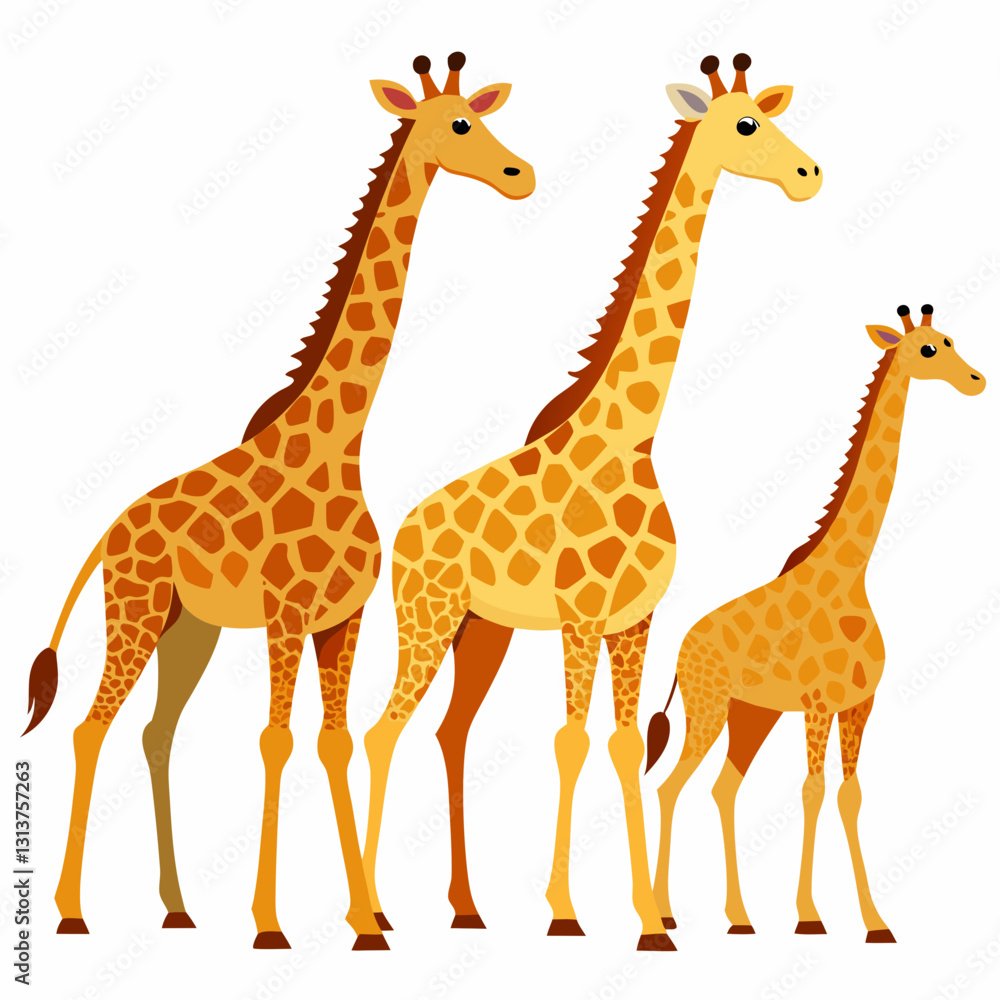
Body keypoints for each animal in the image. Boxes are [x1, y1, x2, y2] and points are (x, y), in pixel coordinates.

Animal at [21, 52, 534, 951]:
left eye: (482, 115)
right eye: (459, 124)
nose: (520, 175)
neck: (340, 442)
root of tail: (110, 532)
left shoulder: (342, 618)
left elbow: (332, 743)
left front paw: (367, 919)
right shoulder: (288, 615)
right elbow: (276, 740)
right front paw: (270, 923)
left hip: (187, 629)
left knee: (156, 730)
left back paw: (178, 907)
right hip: (136, 610)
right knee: (91, 726)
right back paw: (74, 911)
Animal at [360, 54, 822, 950]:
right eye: (746, 125)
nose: (809, 176)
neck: (632, 438)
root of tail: (407, 528)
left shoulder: (635, 621)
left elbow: (622, 744)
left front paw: (652, 920)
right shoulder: (579, 617)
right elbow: (571, 742)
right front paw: (566, 912)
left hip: (483, 629)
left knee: (446, 729)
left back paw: (459, 906)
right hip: (426, 617)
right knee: (381, 729)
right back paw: (369, 913)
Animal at [645, 303, 986, 941]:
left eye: (952, 339)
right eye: (928, 350)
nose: (977, 380)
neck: (851, 572)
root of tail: (681, 648)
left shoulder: (859, 704)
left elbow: (850, 795)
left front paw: (875, 921)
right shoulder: (819, 704)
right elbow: (813, 790)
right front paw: (809, 917)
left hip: (751, 715)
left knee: (723, 787)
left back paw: (739, 917)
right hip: (709, 707)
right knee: (672, 785)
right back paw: (666, 912)